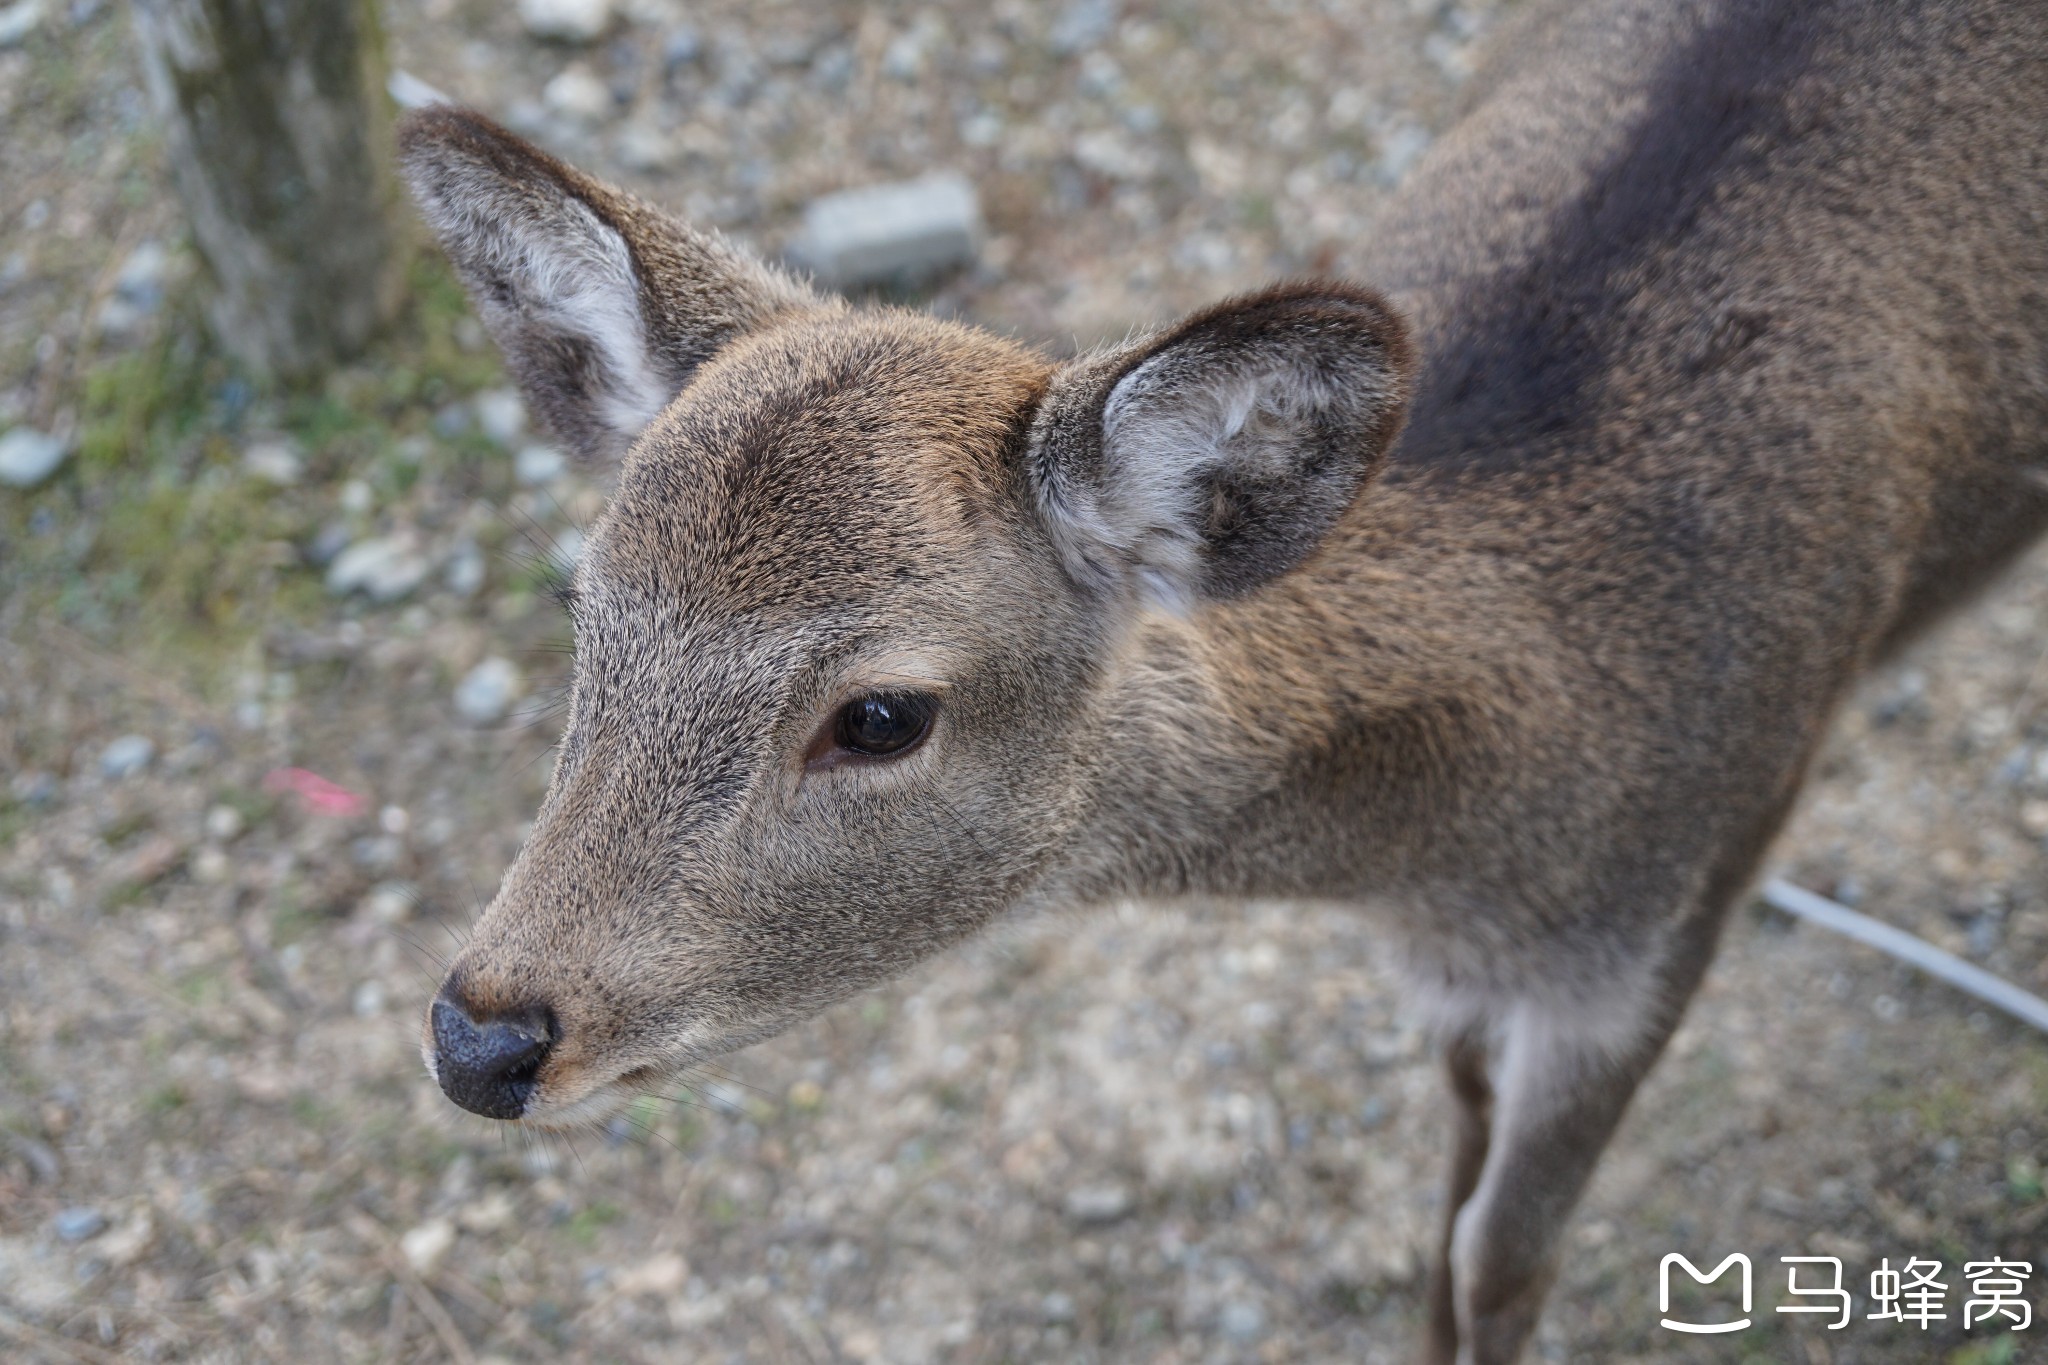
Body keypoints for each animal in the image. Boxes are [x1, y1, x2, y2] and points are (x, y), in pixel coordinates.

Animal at [395, 0, 2048, 1358]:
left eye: (879, 714)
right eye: (584, 604)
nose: (484, 1037)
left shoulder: (1686, 888)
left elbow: (1503, 1258)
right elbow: (1446, 1200)